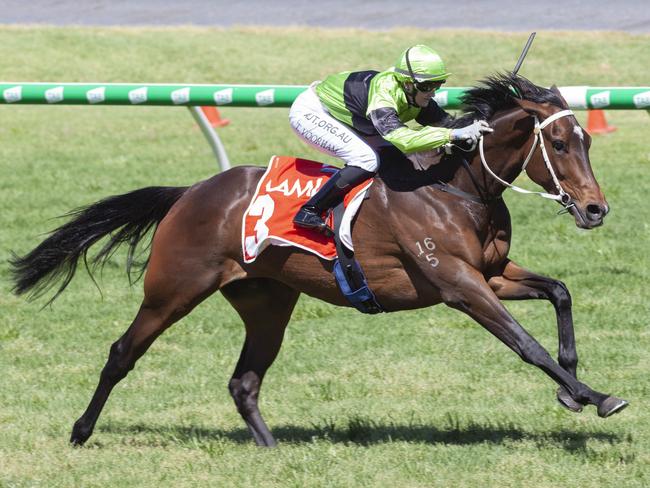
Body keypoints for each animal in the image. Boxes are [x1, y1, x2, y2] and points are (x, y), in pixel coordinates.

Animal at [11, 72, 628, 446]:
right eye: (560, 144)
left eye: (587, 141)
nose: (595, 209)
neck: (456, 188)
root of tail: (191, 192)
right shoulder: (458, 284)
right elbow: (526, 344)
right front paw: (595, 396)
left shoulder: (492, 275)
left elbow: (560, 292)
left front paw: (571, 386)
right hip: (174, 289)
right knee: (122, 353)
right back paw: (80, 431)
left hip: (267, 302)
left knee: (244, 381)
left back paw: (271, 449)